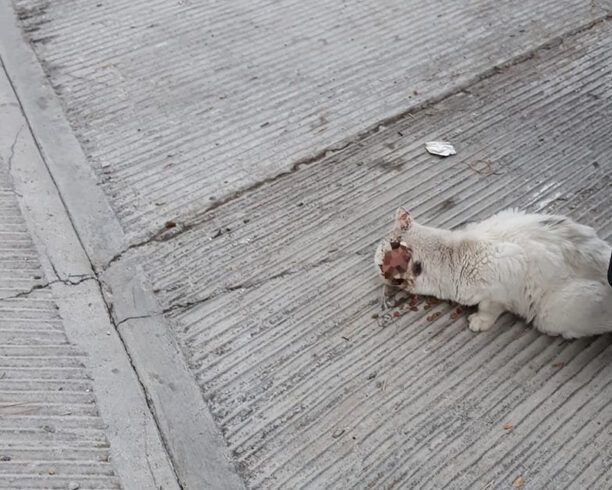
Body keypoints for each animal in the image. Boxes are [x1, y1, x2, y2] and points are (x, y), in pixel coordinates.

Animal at [372, 206, 612, 336]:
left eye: (379, 264)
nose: (377, 268)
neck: (452, 251)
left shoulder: (504, 275)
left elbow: (490, 307)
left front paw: (480, 320)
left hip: (551, 314)